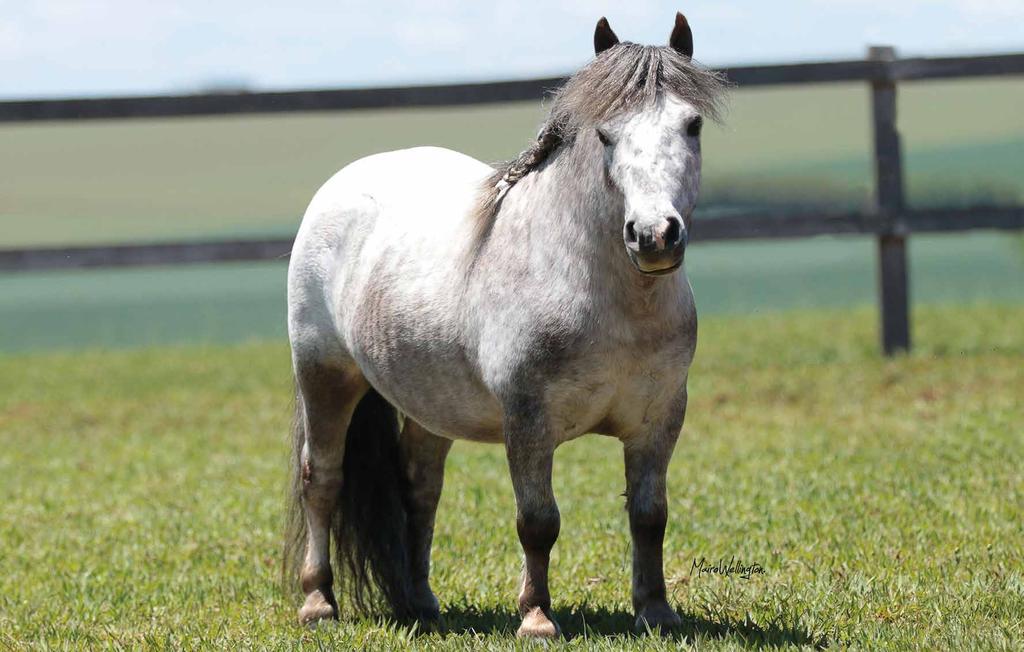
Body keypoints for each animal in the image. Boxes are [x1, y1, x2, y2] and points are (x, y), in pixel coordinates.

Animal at [282, 12, 729, 638]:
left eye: (691, 125)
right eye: (605, 135)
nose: (654, 235)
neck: (608, 302)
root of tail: (339, 187)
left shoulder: (659, 419)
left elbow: (649, 516)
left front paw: (656, 612)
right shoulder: (528, 421)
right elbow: (538, 522)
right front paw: (537, 617)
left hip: (430, 404)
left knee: (420, 489)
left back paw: (421, 602)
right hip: (324, 377)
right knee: (321, 480)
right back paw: (318, 601)